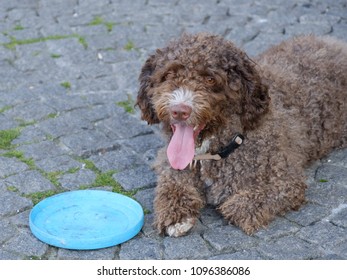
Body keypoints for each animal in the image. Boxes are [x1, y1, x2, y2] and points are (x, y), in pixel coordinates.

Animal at [136, 34, 347, 237]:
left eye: (210, 79)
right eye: (168, 75)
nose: (180, 110)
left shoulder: (285, 181)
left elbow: (239, 208)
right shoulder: (170, 165)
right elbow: (170, 185)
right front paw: (176, 215)